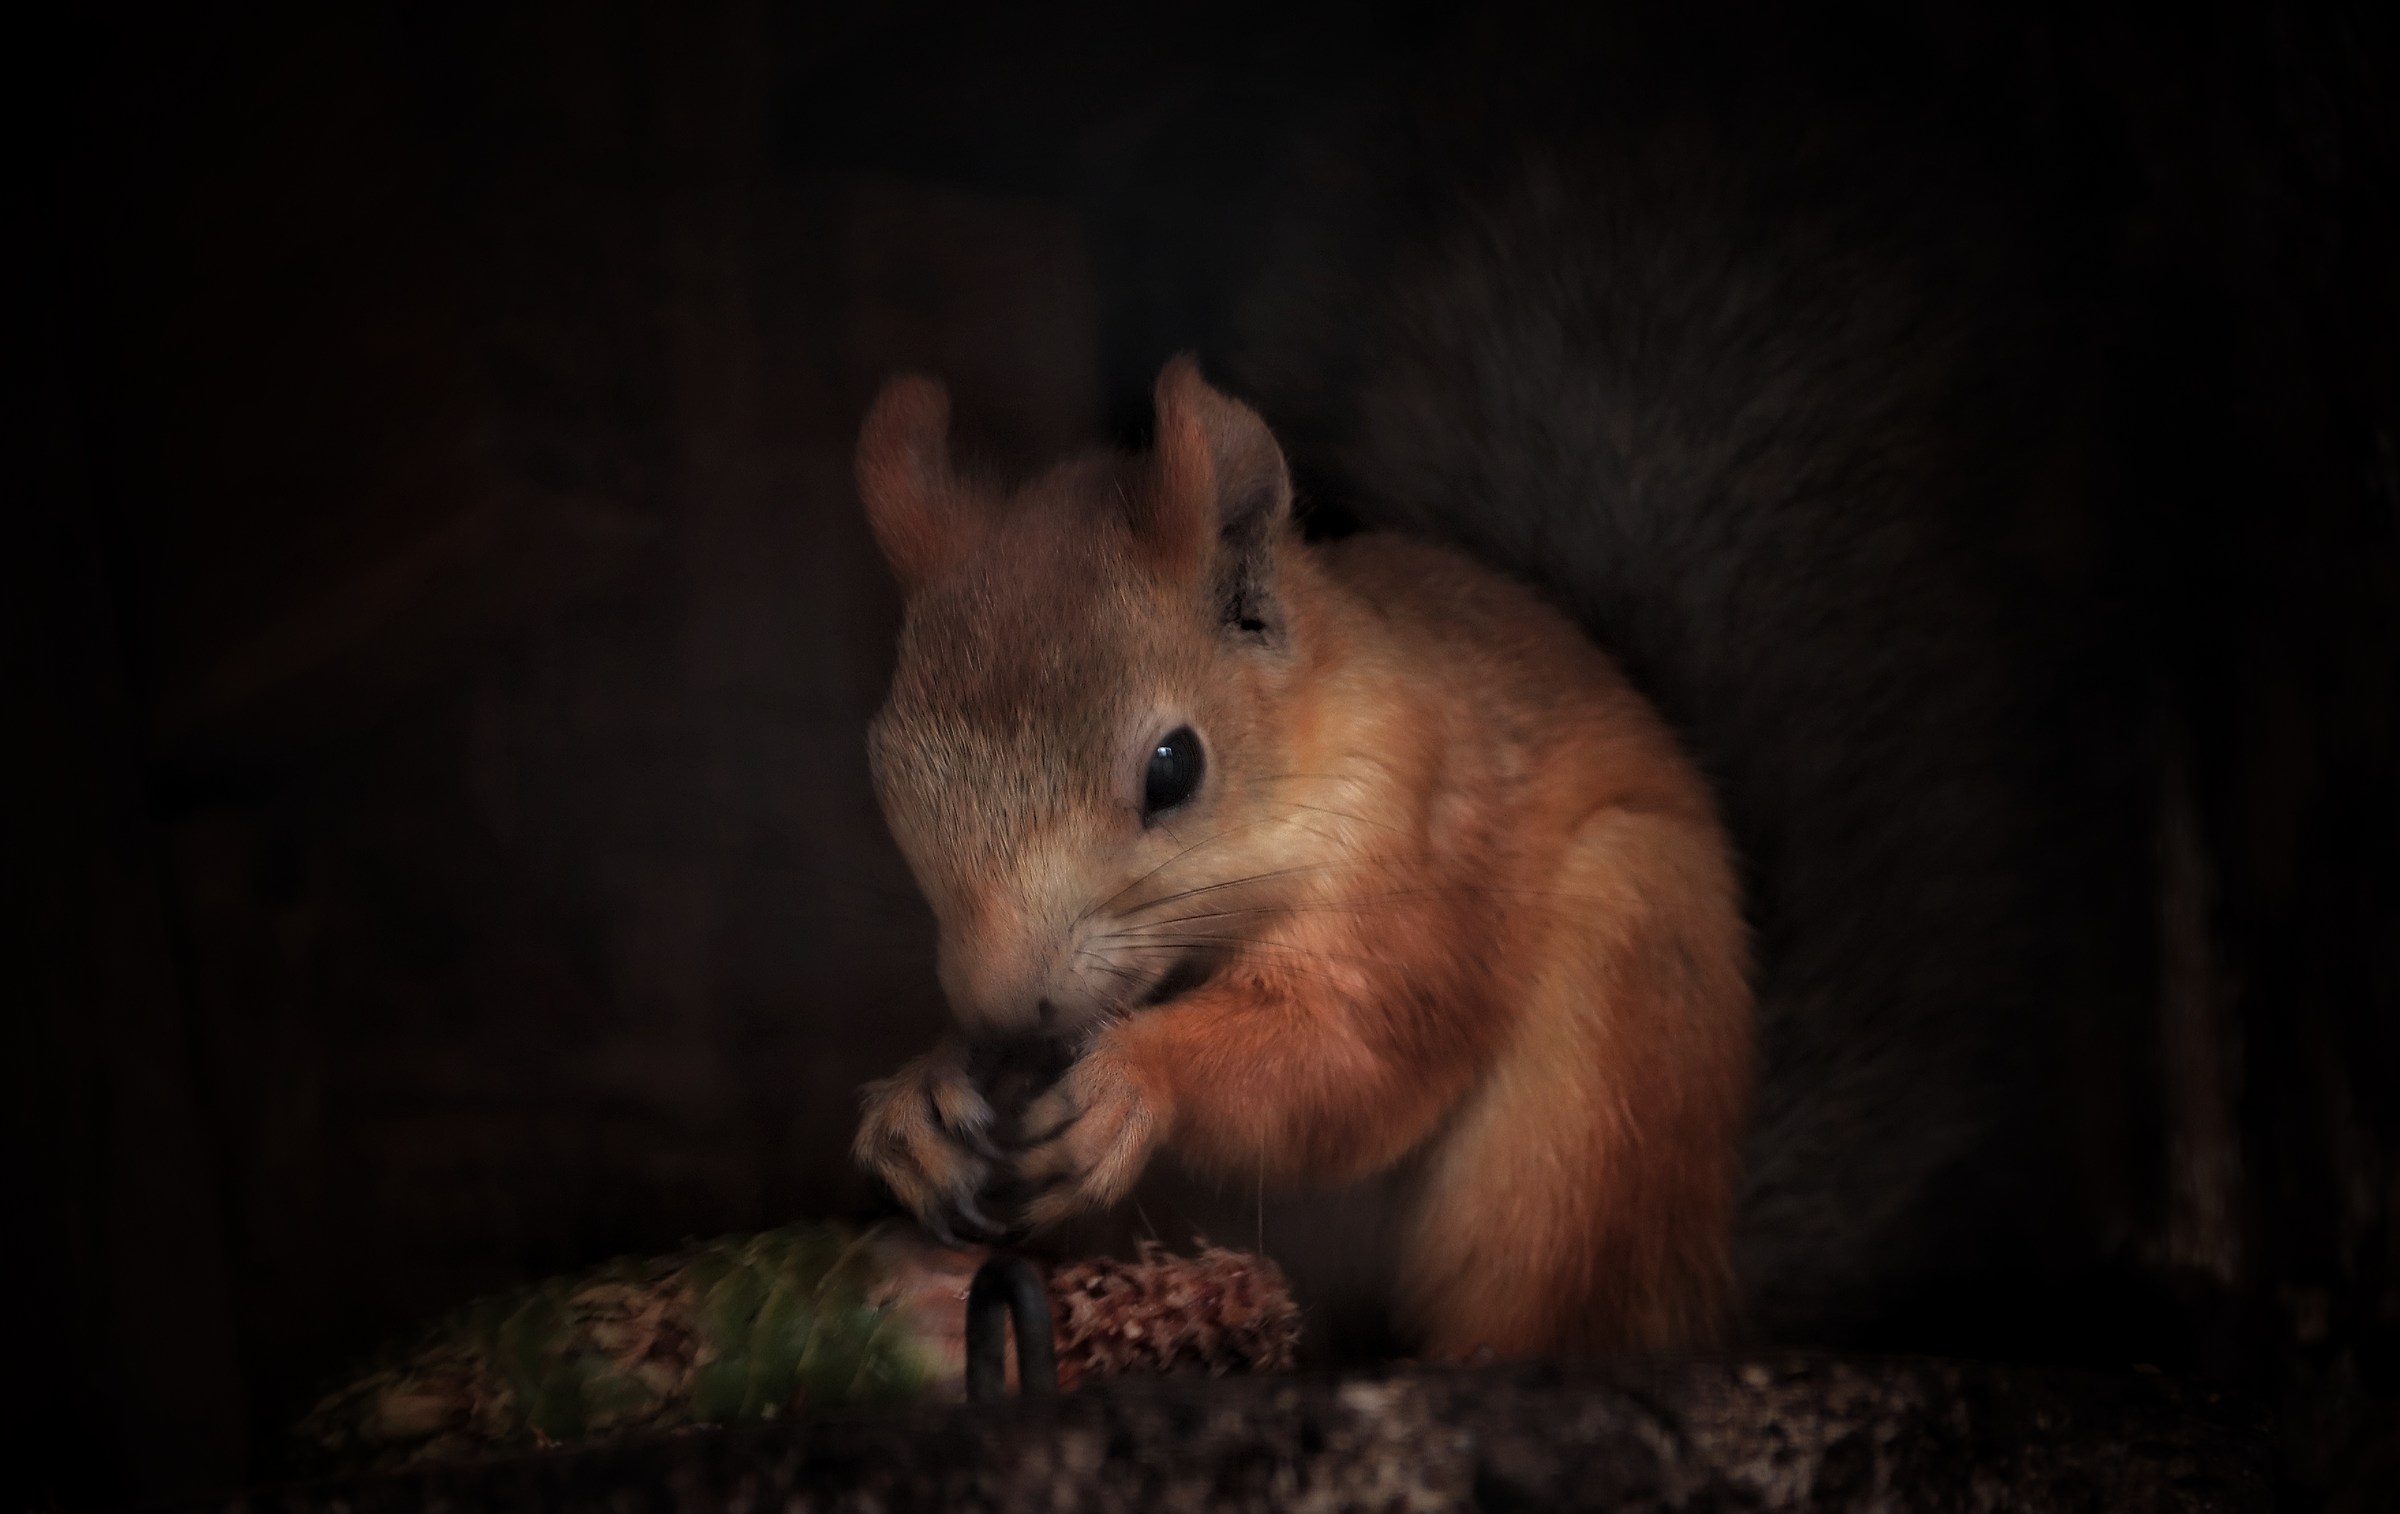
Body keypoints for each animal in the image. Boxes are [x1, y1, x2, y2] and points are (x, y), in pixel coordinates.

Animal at [848, 356, 1752, 1356]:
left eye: (1173, 766)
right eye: (886, 765)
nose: (1005, 1007)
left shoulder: (1417, 844)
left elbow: (1349, 1049)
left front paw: (1136, 1075)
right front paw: (920, 1101)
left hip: (1607, 1048)